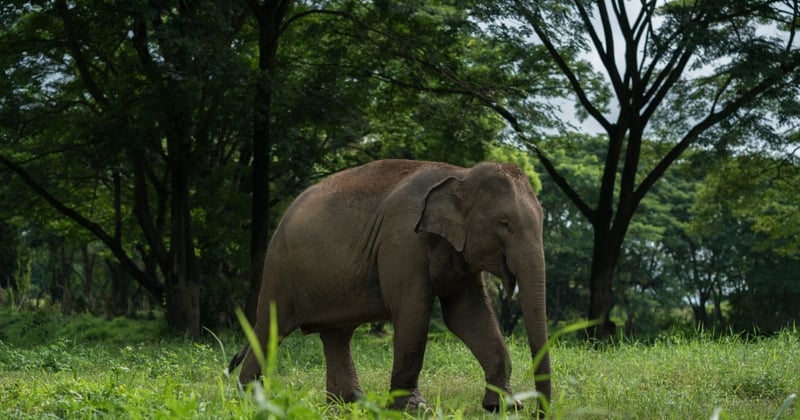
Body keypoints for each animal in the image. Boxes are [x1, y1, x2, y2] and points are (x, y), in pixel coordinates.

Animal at [227, 159, 552, 412]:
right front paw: (415, 409)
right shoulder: (402, 241)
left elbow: (467, 316)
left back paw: (350, 405)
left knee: (336, 335)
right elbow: (413, 312)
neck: (460, 173)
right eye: (504, 224)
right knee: (271, 329)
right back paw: (249, 402)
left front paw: (504, 406)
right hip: (280, 269)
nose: (540, 412)